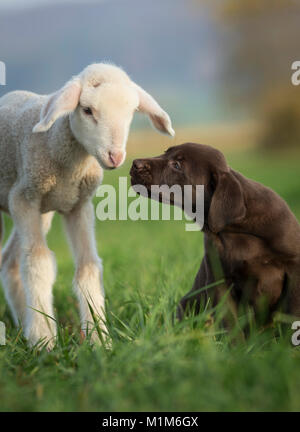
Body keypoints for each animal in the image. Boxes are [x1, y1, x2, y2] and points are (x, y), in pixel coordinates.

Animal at [0, 62, 173, 350]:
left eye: (131, 113)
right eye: (87, 110)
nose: (115, 156)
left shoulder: (78, 206)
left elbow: (89, 267)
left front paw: (99, 339)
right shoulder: (24, 197)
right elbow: (38, 262)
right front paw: (44, 339)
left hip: (43, 213)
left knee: (9, 259)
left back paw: (24, 321)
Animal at [130, 143, 300, 322]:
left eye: (177, 165)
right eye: (165, 152)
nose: (135, 163)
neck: (236, 230)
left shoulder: (295, 269)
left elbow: (293, 312)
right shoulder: (219, 281)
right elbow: (228, 320)